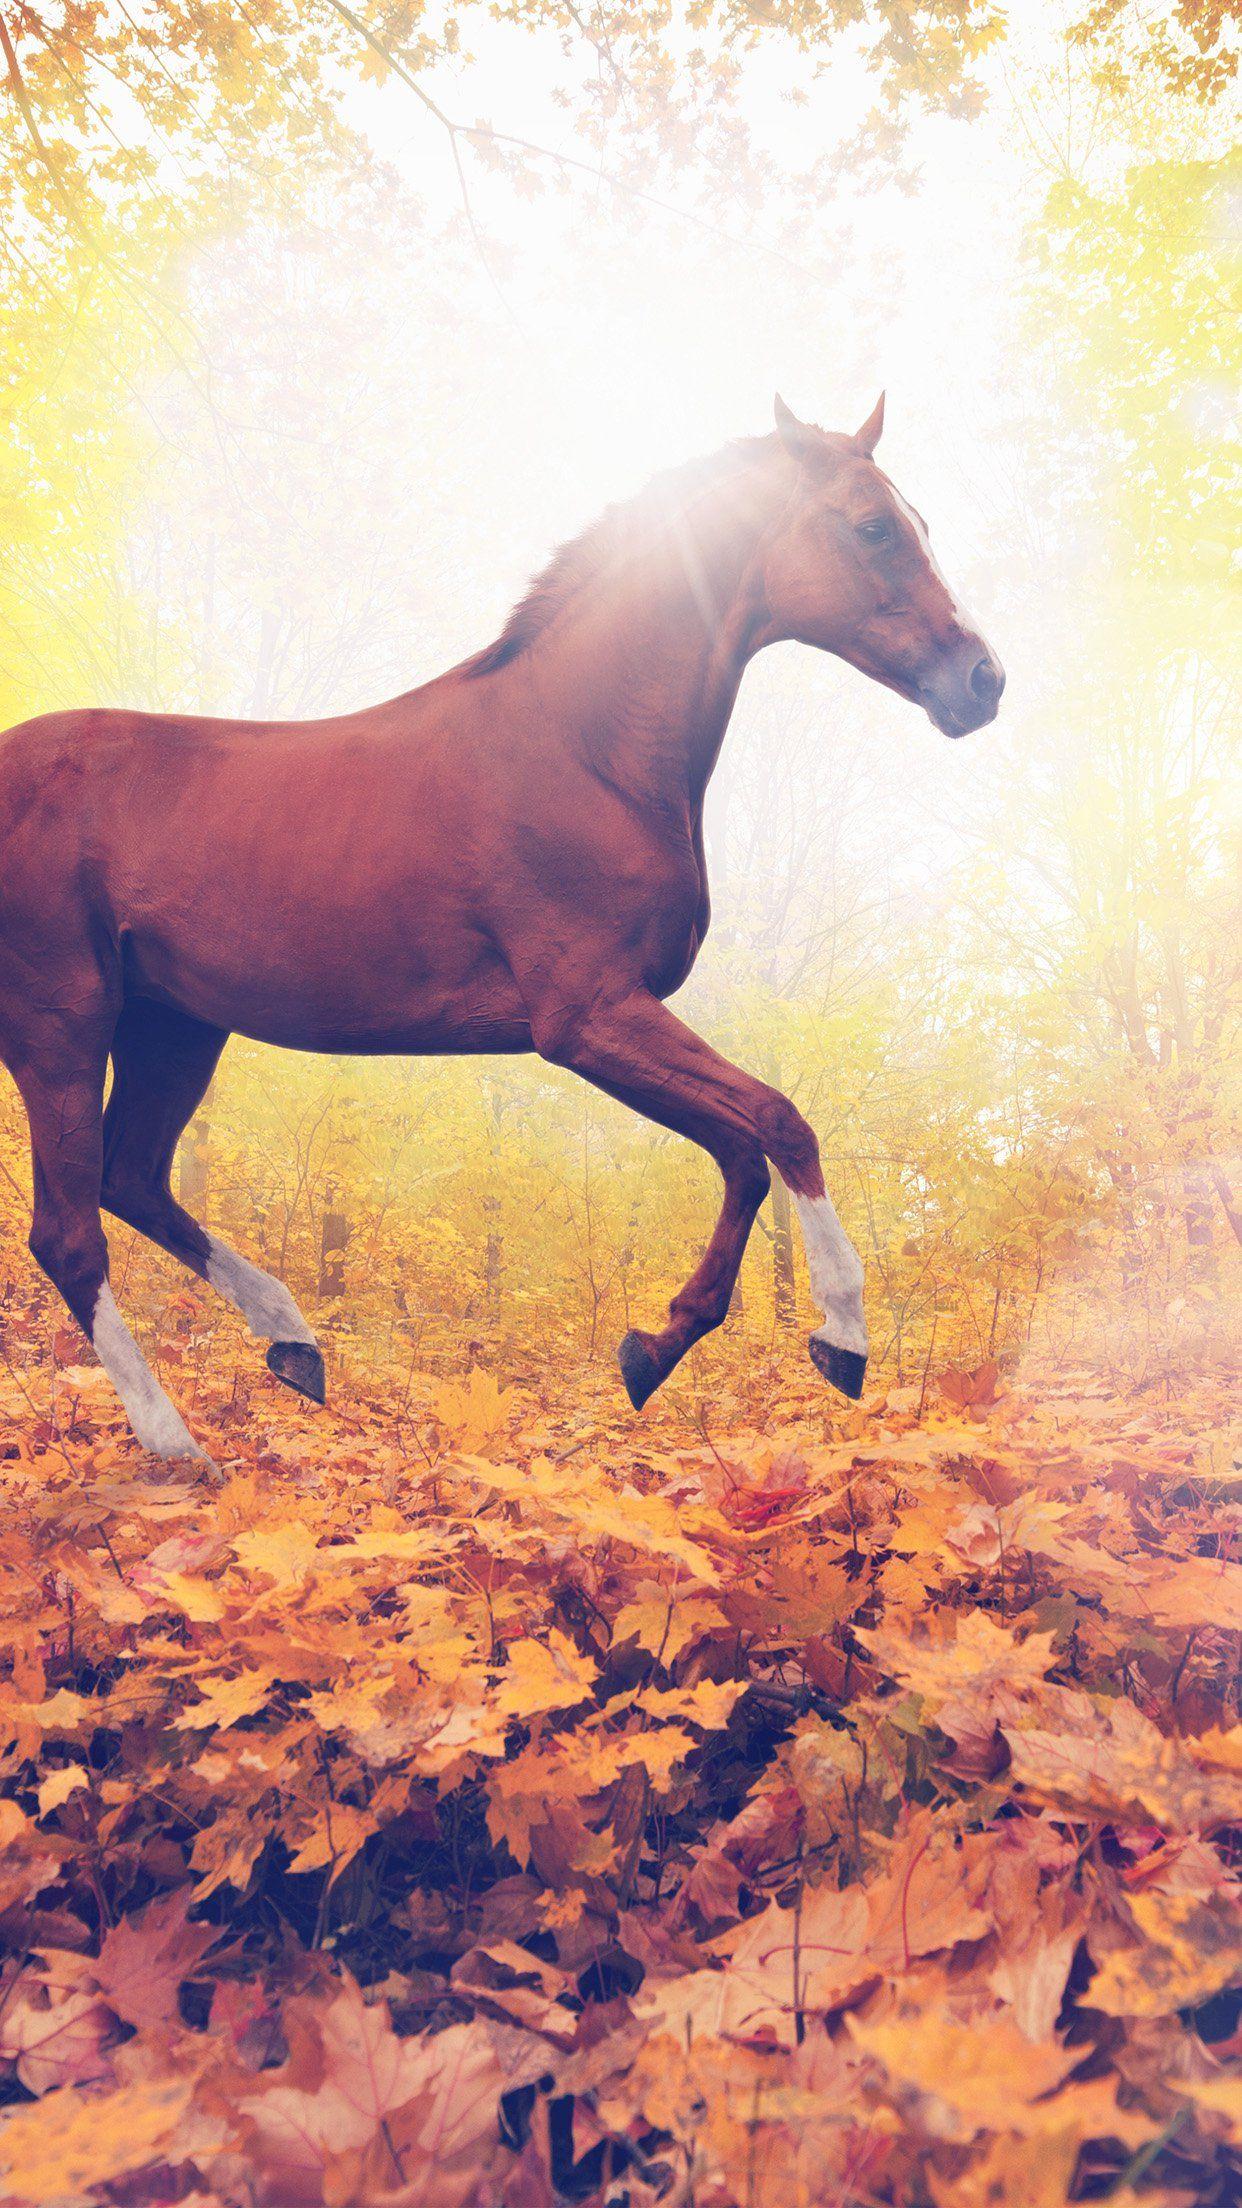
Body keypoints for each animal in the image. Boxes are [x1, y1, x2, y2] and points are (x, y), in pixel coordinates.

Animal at [0, 394, 1003, 1466]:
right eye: (873, 527)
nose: (982, 682)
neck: (581, 748)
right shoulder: (588, 1019)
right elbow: (777, 1122)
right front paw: (841, 1336)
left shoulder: (606, 1026)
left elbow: (740, 1153)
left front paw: (654, 1347)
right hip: (63, 1025)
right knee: (70, 1231)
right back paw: (174, 1442)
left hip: (176, 1027)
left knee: (133, 1178)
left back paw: (294, 1343)